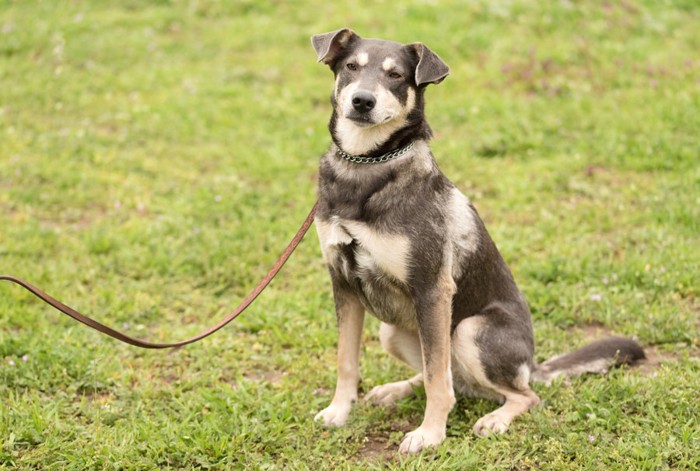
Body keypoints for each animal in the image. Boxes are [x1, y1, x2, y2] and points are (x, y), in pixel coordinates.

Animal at [310, 28, 644, 454]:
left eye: (396, 75)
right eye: (351, 66)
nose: (362, 101)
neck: (365, 165)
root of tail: (531, 367)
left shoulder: (432, 290)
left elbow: (437, 380)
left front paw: (429, 435)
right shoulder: (343, 283)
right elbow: (347, 361)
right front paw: (339, 412)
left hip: (467, 330)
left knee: (516, 393)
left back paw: (495, 418)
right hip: (396, 331)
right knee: (451, 377)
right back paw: (396, 389)